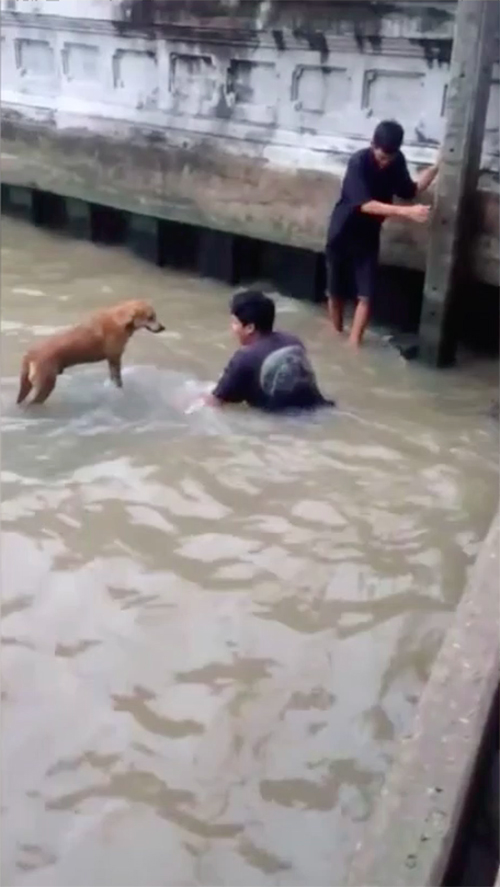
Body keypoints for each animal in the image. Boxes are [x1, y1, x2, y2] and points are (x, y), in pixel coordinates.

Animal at [16, 300, 165, 408]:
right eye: (151, 317)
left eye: (155, 316)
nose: (163, 328)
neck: (120, 320)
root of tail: (30, 354)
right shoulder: (115, 358)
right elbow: (118, 380)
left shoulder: (111, 361)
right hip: (45, 385)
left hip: (27, 385)